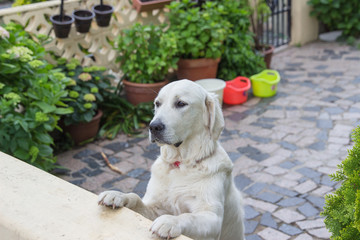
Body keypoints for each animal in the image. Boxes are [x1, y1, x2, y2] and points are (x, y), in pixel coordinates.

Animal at [98, 79, 245, 239]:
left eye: (181, 103)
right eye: (157, 103)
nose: (153, 127)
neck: (180, 164)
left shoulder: (212, 217)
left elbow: (188, 216)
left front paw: (170, 221)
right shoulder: (154, 208)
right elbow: (135, 198)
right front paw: (118, 195)